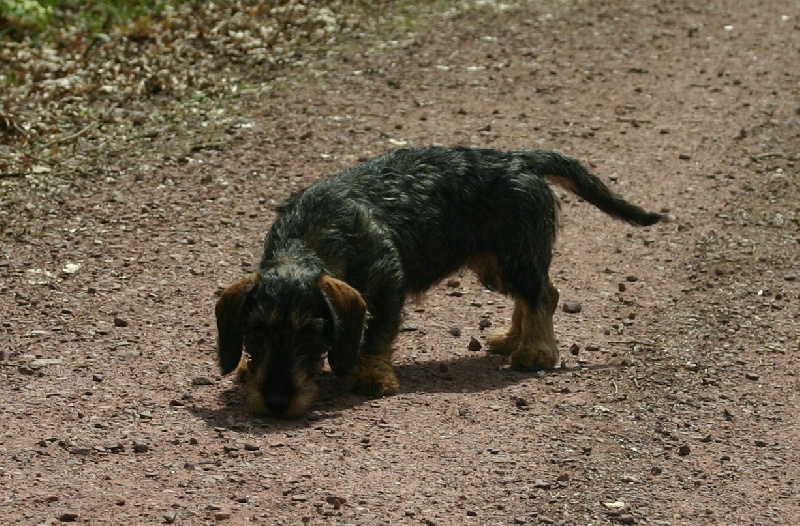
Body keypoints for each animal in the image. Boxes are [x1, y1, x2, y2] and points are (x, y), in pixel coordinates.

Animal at [214, 146, 668, 418]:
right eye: (256, 332)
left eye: (309, 335)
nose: (275, 401)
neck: (311, 238)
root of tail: (520, 158)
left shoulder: (388, 286)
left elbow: (377, 335)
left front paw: (372, 376)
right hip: (497, 266)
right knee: (535, 294)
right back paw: (511, 339)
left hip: (514, 257)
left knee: (543, 295)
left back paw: (536, 351)